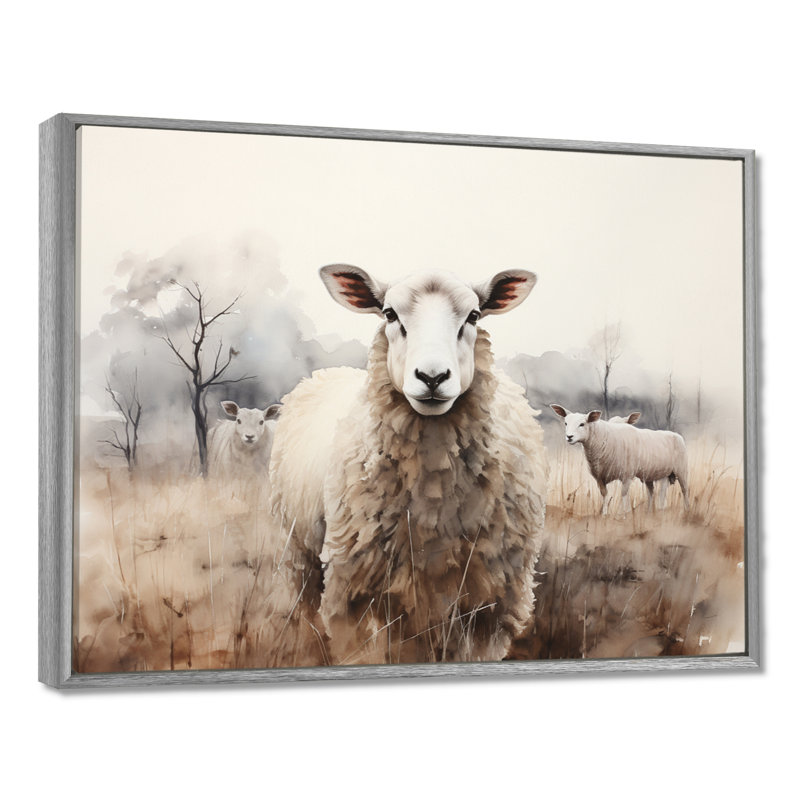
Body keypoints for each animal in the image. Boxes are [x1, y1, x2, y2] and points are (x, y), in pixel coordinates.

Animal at [269, 264, 548, 665]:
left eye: (473, 315)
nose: (432, 377)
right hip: (298, 552)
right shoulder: (350, 591)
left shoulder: (493, 604)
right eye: (389, 314)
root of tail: (321, 373)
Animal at [549, 404, 689, 514]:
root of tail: (675, 435)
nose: (569, 437)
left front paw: (624, 514)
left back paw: (686, 511)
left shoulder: (627, 475)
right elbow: (605, 495)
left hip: (681, 470)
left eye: (582, 424)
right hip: (655, 474)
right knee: (653, 492)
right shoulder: (599, 477)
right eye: (566, 423)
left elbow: (623, 494)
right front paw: (605, 514)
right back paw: (650, 512)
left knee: (683, 490)